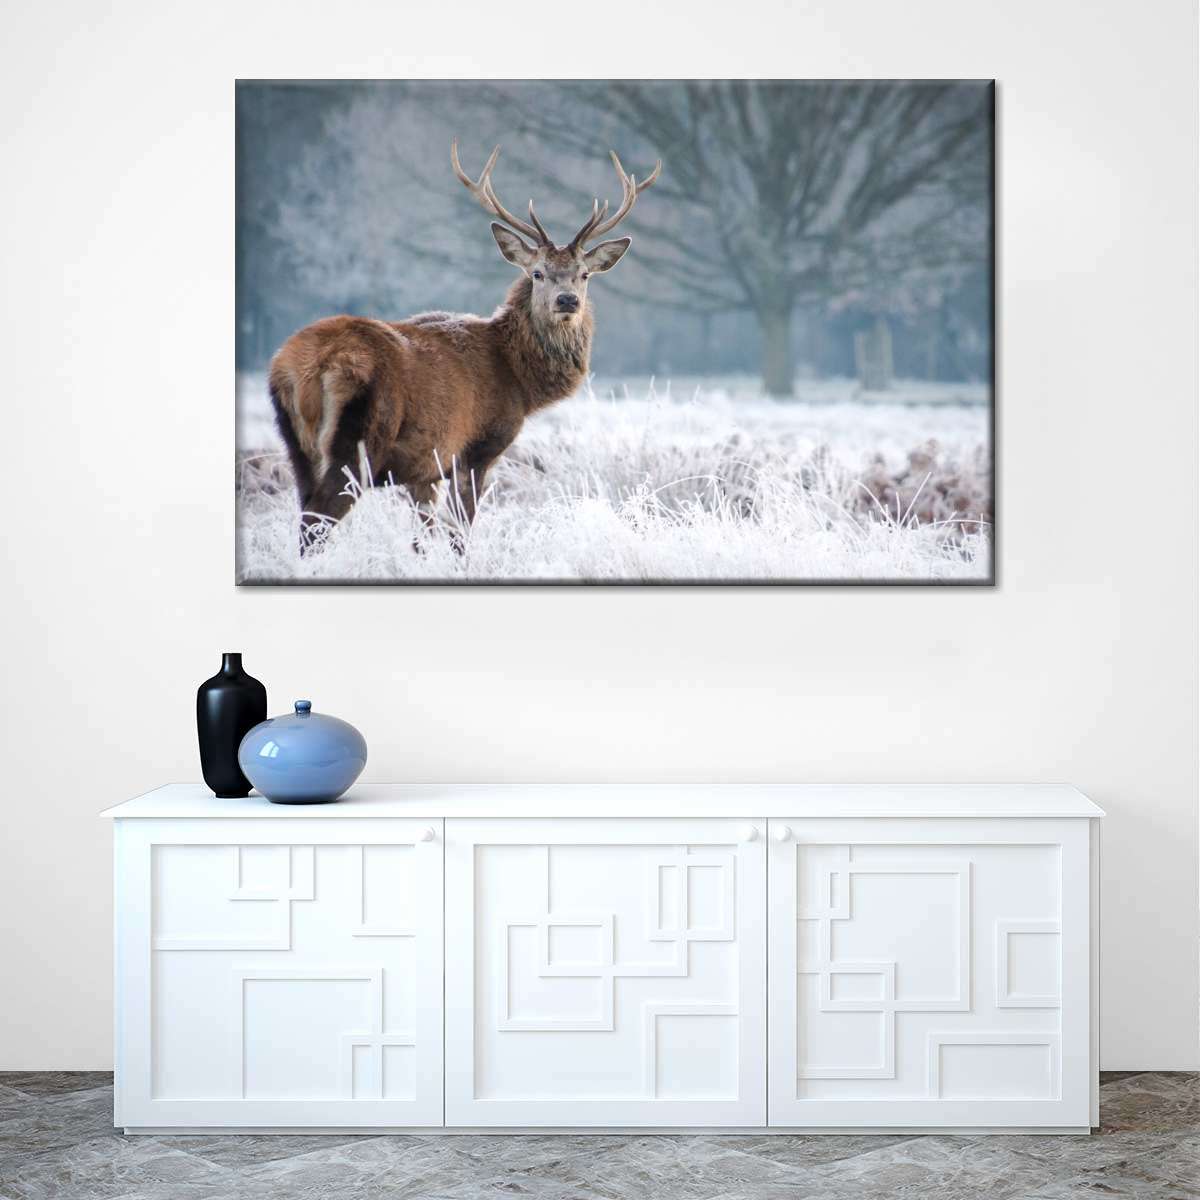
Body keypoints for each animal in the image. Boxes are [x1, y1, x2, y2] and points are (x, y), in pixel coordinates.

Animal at [267, 141, 661, 553]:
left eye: (584, 274)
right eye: (537, 273)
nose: (567, 301)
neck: (519, 381)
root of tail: (304, 368)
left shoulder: (423, 468)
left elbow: (422, 538)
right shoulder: (475, 450)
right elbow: (459, 535)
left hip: (296, 445)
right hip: (358, 439)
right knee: (315, 524)